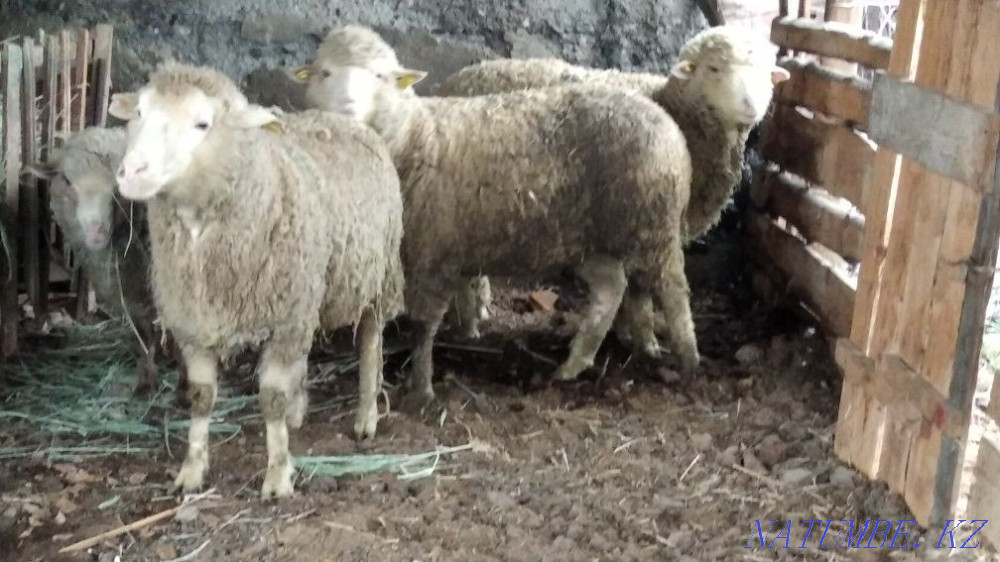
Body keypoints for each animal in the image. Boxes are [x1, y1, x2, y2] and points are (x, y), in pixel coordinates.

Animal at [29, 127, 188, 400]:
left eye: (119, 184)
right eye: (67, 180)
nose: (96, 232)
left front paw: (187, 389)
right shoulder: (131, 291)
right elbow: (143, 338)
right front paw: (146, 385)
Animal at [109, 62, 405, 499]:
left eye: (202, 123)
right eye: (140, 113)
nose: (132, 172)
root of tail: (339, 118)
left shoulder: (284, 320)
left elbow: (271, 400)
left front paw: (278, 475)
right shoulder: (195, 323)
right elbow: (201, 397)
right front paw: (192, 469)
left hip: (376, 276)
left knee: (370, 342)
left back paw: (366, 416)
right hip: (308, 291)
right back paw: (301, 410)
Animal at [294, 25, 699, 409]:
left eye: (380, 76)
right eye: (325, 73)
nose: (346, 108)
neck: (416, 136)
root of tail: (665, 120)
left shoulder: (433, 254)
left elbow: (423, 326)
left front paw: (421, 388)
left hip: (651, 225)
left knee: (673, 289)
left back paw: (687, 359)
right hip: (584, 238)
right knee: (610, 288)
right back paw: (573, 365)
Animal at [434, 26, 790, 355]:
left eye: (765, 72)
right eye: (714, 68)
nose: (751, 105)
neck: (675, 108)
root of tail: (455, 79)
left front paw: (625, 331)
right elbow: (638, 290)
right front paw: (639, 338)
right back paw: (468, 321)